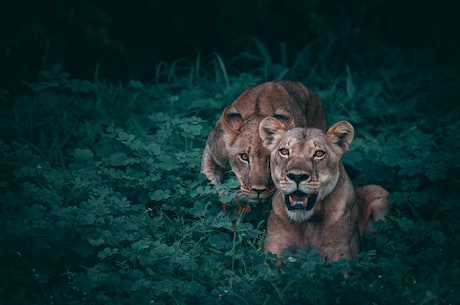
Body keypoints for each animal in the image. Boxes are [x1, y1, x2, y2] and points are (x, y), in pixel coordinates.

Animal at [258, 117, 388, 260]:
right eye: (284, 151)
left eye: (319, 153)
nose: (297, 176)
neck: (306, 223)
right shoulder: (274, 247)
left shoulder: (340, 251)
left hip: (378, 190)